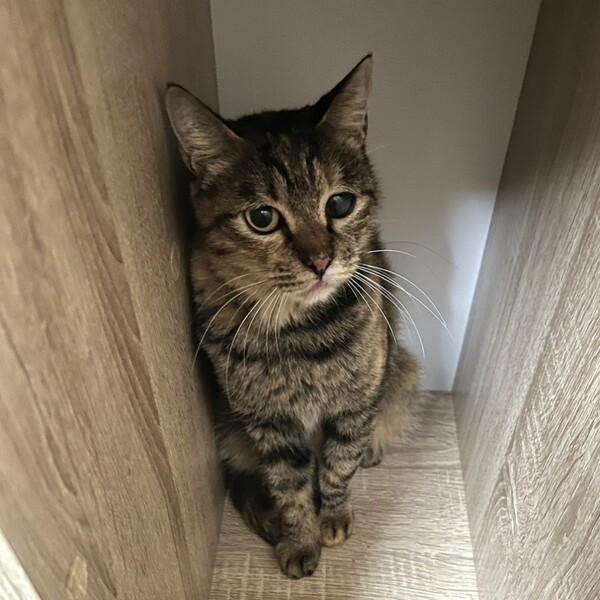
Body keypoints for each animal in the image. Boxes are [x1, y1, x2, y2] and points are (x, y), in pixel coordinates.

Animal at [165, 55, 421, 579]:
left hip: (400, 373)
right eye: (262, 218)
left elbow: (339, 464)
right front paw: (300, 539)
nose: (321, 261)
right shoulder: (269, 423)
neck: (300, 332)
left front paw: (334, 517)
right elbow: (289, 486)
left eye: (339, 203)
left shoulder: (356, 403)